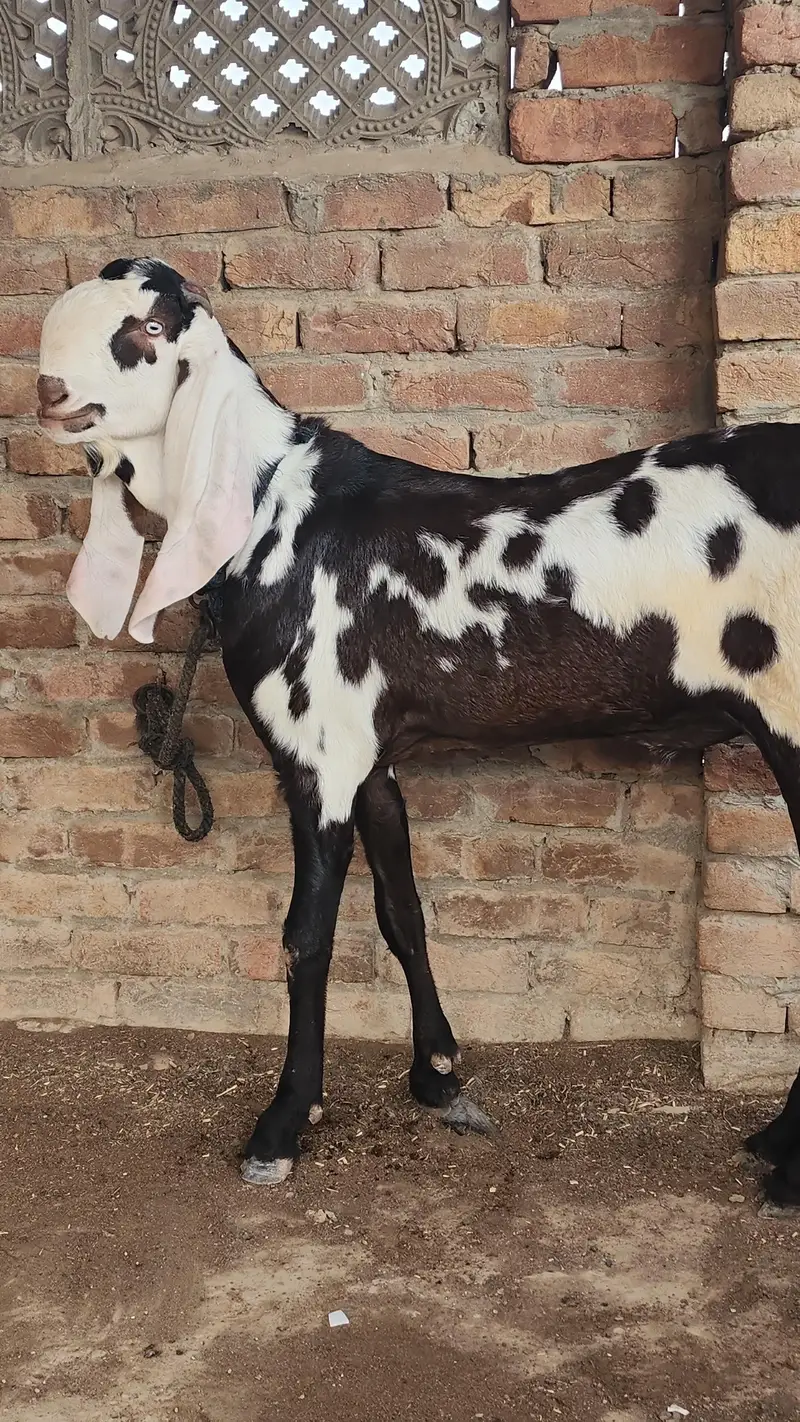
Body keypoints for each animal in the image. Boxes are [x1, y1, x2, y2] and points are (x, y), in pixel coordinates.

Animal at [37, 258, 800, 1205]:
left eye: (144, 331)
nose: (47, 391)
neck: (276, 516)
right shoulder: (366, 757)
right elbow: (402, 910)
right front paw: (437, 1074)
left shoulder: (316, 758)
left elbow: (307, 937)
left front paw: (283, 1125)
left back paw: (789, 1163)